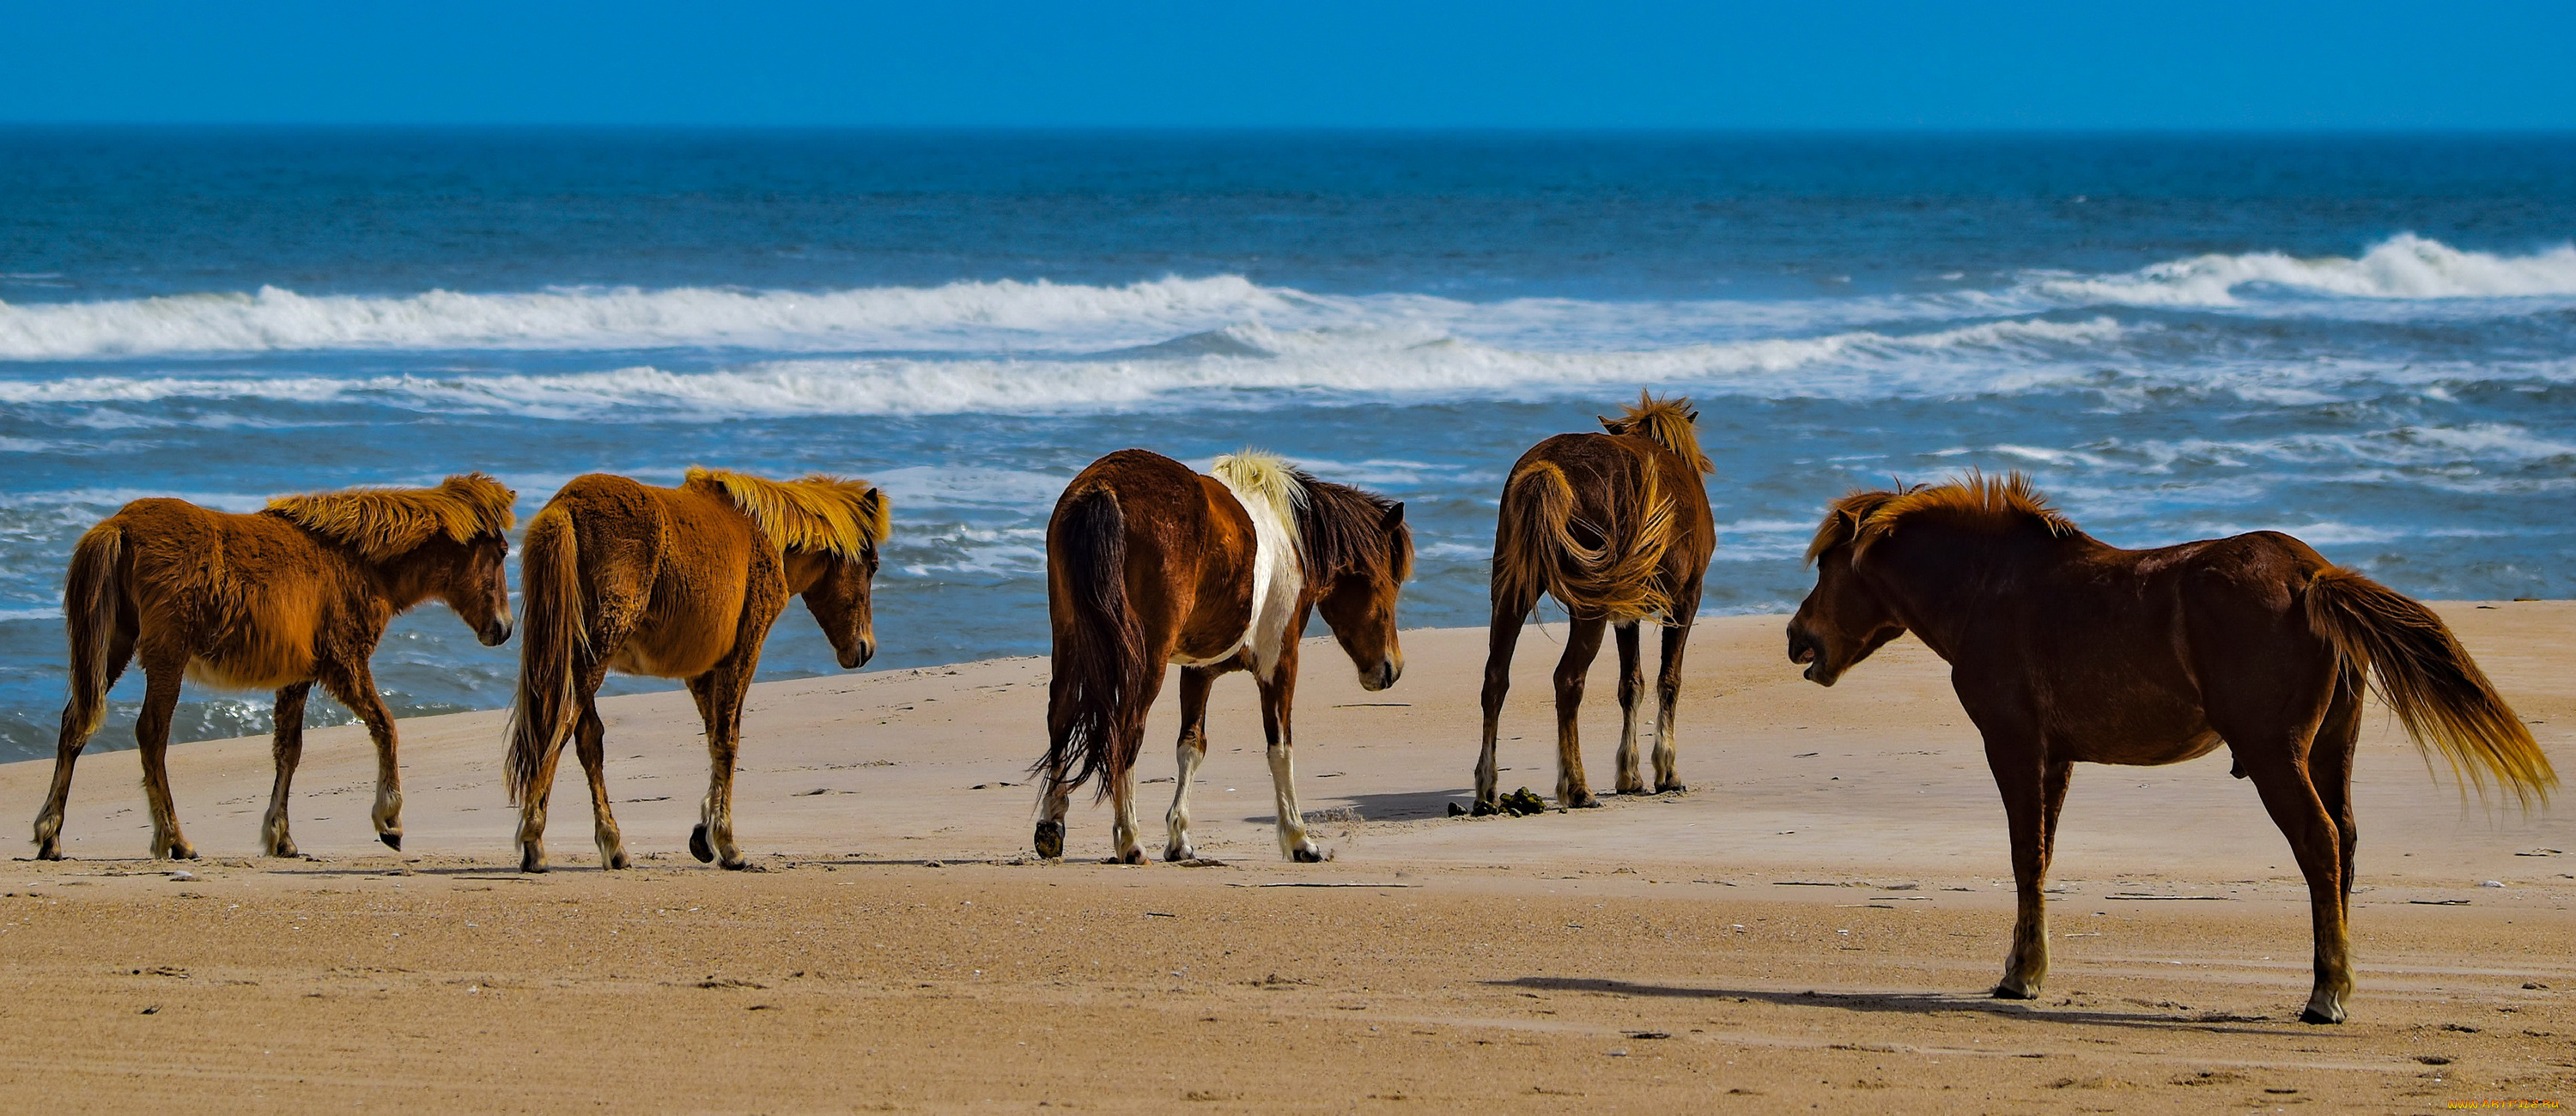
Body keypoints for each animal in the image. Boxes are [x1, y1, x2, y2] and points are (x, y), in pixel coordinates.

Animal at [33, 474, 518, 855]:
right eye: (501, 552)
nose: (504, 628)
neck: (354, 561)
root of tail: (118, 526)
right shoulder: (345, 664)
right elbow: (385, 727)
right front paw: (390, 820)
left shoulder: (300, 677)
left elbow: (289, 750)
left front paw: (281, 836)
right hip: (167, 657)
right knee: (151, 734)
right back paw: (175, 840)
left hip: (113, 647)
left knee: (75, 723)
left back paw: (50, 835)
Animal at [502, 466, 886, 876]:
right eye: (873, 567)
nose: (865, 649)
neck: (765, 536)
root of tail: (566, 507)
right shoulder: (743, 652)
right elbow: (728, 738)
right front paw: (727, 843)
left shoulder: (701, 671)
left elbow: (714, 736)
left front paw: (704, 832)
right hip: (593, 656)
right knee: (559, 729)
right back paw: (535, 842)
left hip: (581, 657)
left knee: (587, 738)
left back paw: (613, 844)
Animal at [1036, 448, 1422, 865]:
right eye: (1389, 582)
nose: (1391, 669)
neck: (1293, 538)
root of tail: (1102, 489)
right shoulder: (1280, 663)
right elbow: (1280, 748)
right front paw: (1299, 839)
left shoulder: (1197, 671)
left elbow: (1191, 747)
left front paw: (1180, 840)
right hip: (1145, 662)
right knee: (1126, 729)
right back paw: (1130, 840)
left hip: (1070, 640)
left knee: (1060, 717)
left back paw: (1051, 827)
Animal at [1473, 391, 1710, 809]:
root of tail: (1548, 469)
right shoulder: (1685, 599)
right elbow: (1669, 680)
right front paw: (1666, 772)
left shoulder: (1628, 611)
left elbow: (1631, 683)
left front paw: (1630, 775)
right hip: (1590, 606)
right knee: (1568, 680)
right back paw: (1577, 786)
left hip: (1510, 591)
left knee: (1495, 679)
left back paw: (1487, 788)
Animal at [1793, 469, 2555, 1015]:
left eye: (1827, 568)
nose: (1797, 637)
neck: (1992, 589)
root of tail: (2310, 575)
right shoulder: (2056, 757)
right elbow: (2042, 853)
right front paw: (2024, 968)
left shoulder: (2012, 745)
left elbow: (2023, 856)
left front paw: (2023, 975)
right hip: (2333, 749)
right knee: (2346, 842)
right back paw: (2335, 978)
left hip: (2277, 756)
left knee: (2320, 843)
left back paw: (2325, 994)